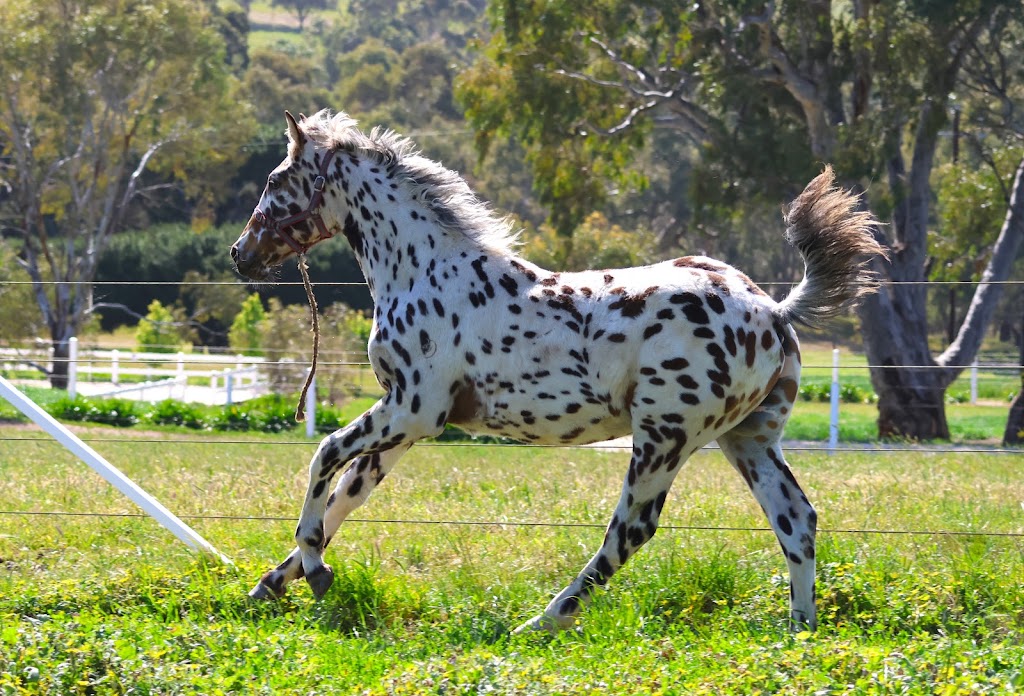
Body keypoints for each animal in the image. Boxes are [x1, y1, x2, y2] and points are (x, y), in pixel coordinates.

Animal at [230, 109, 883, 633]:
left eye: (274, 181)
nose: (241, 254)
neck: (428, 269)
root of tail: (773, 310)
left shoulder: (414, 409)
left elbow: (325, 456)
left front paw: (313, 566)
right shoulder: (404, 423)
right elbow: (348, 494)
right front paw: (274, 581)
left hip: (664, 439)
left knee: (630, 531)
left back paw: (542, 622)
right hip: (747, 438)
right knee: (795, 519)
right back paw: (799, 630)